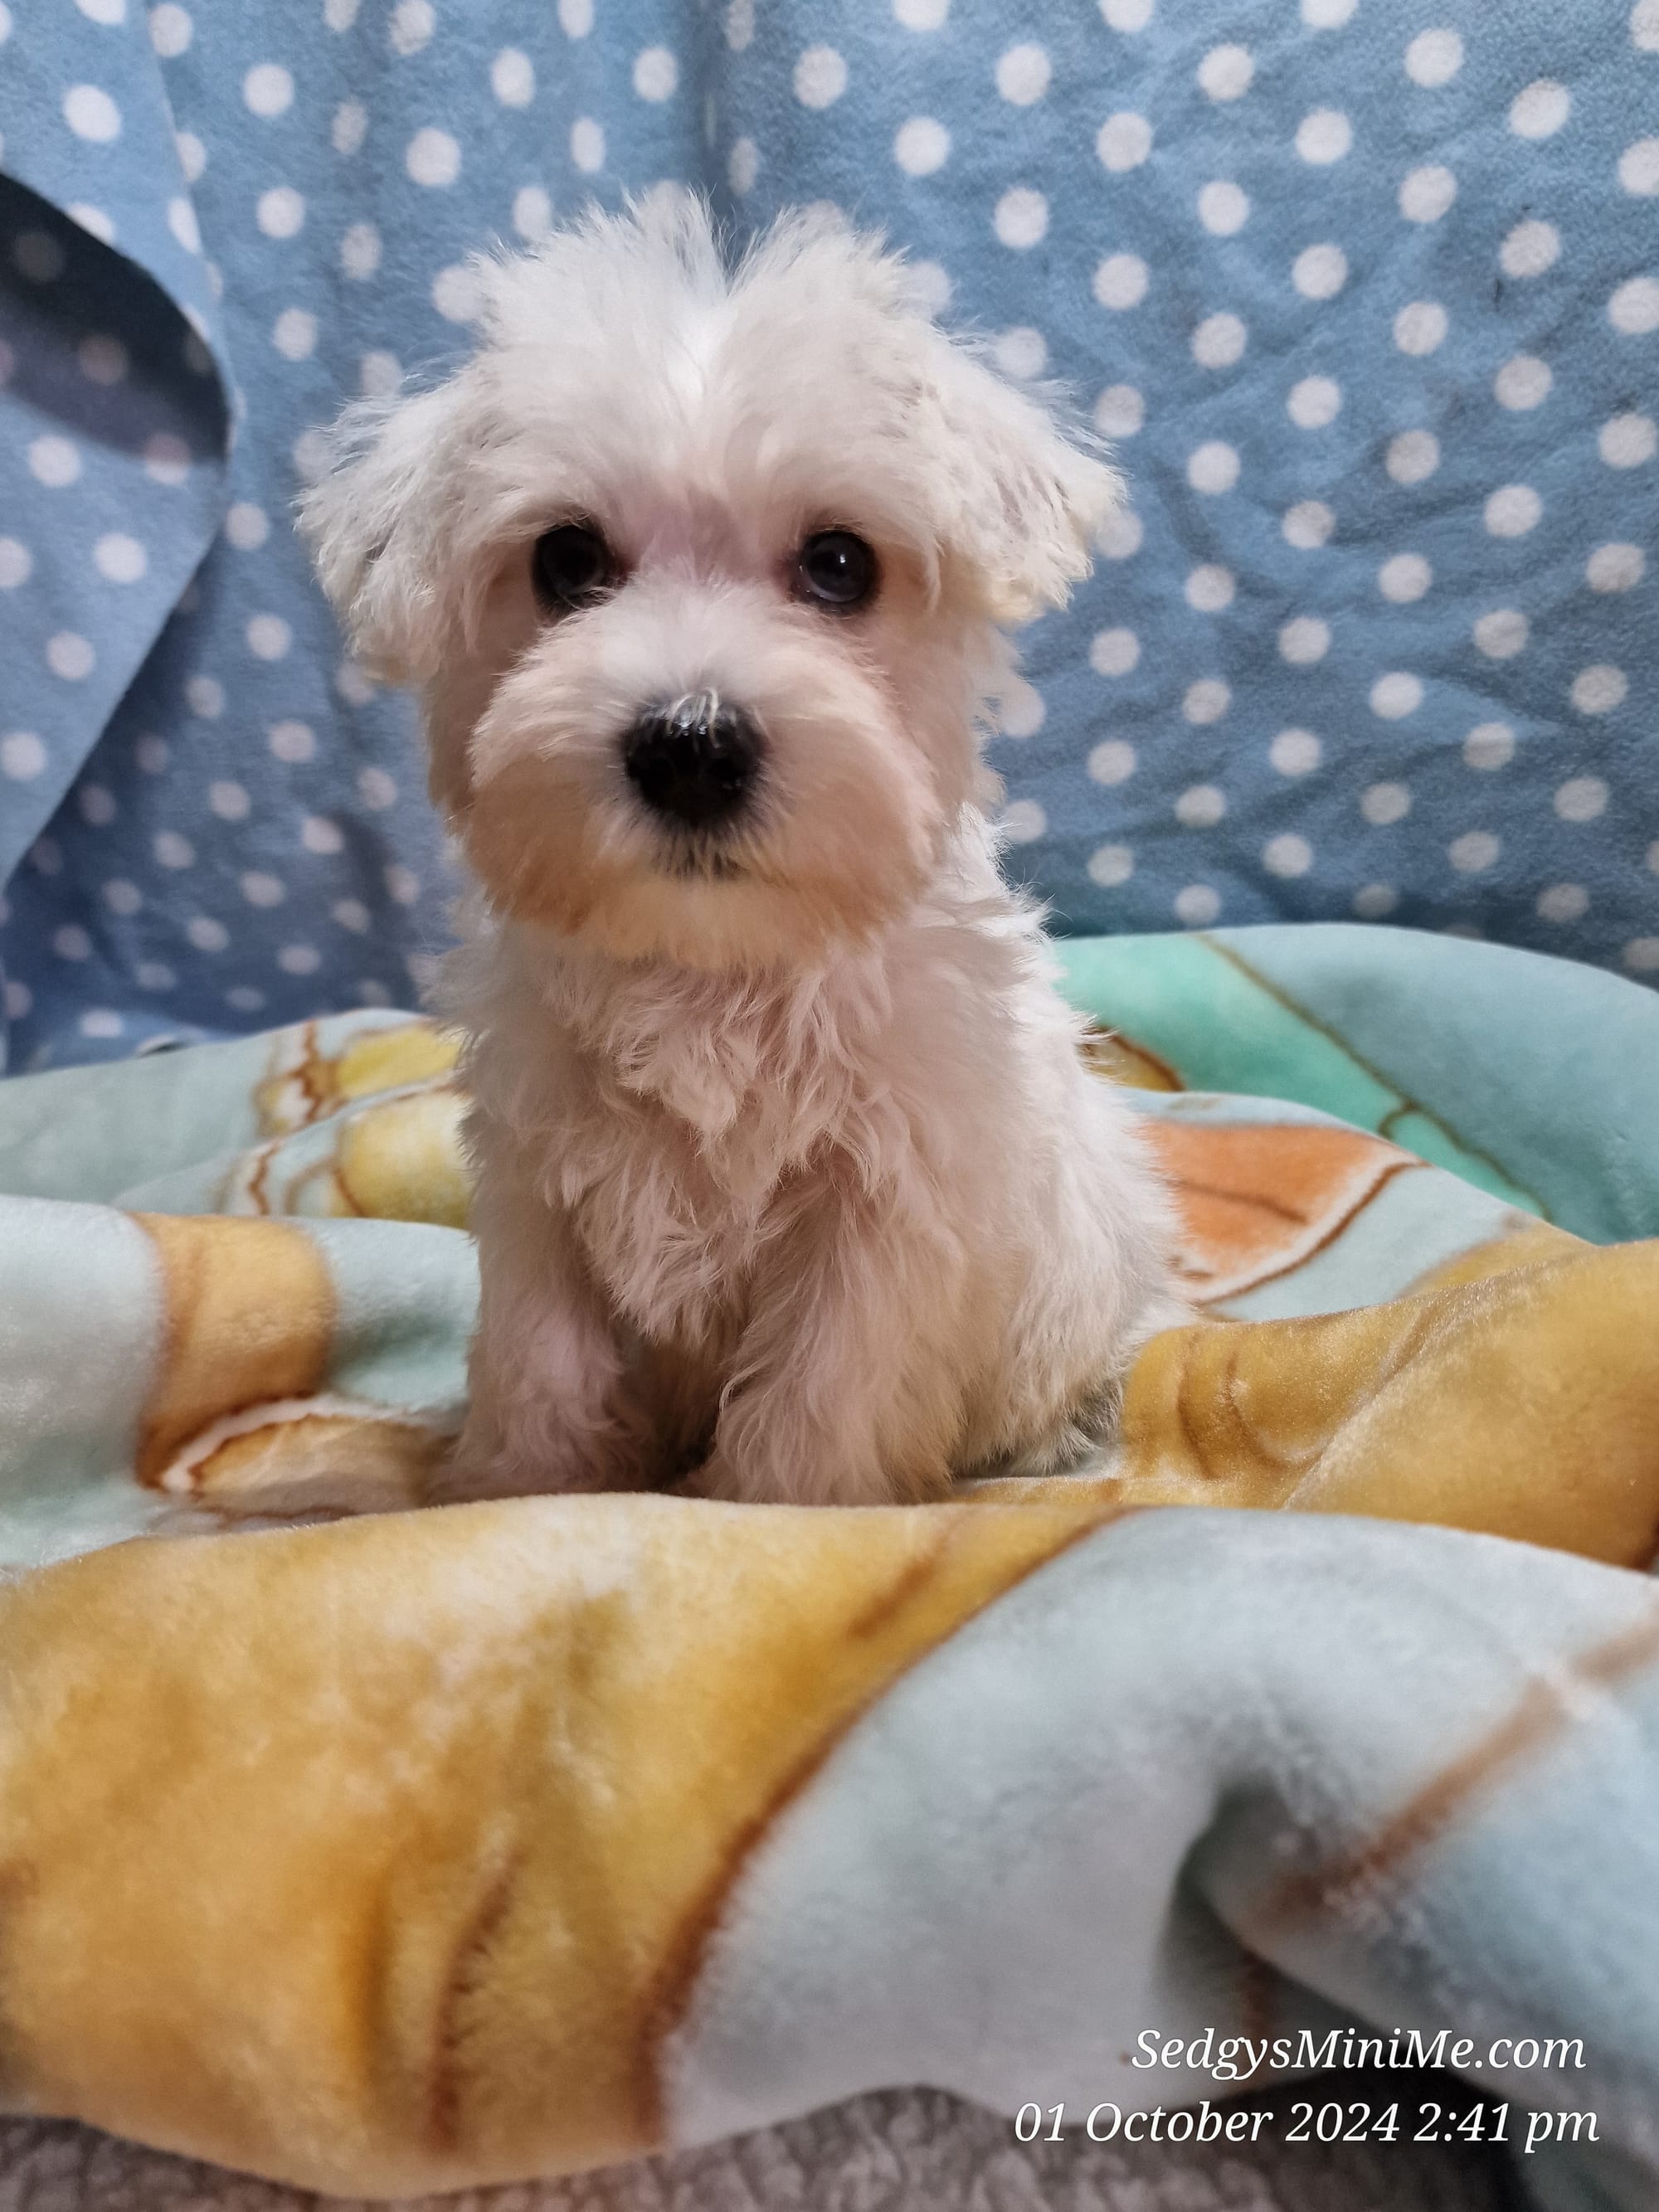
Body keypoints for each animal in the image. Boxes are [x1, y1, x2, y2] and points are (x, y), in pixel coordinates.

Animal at [305, 194, 1185, 1504]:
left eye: (839, 564)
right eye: (565, 561)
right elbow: (540, 1351)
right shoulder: (534, 1175)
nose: (689, 746)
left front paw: (777, 1507)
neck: (711, 967)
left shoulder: (884, 1198)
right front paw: (517, 1483)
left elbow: (824, 1378)